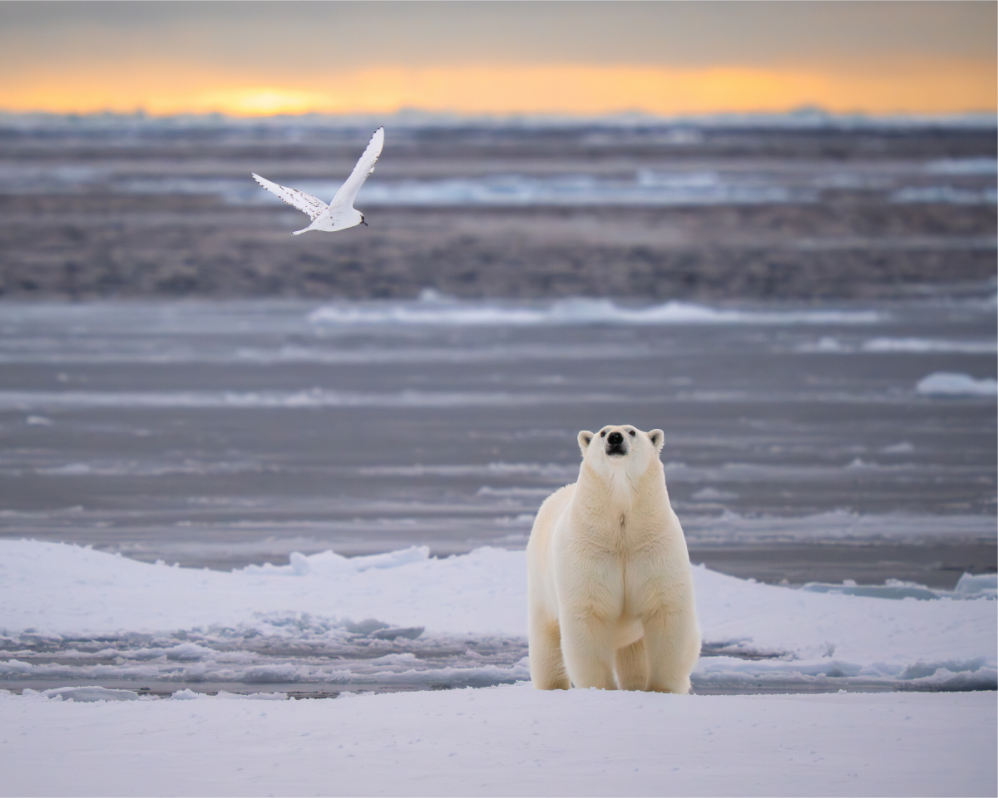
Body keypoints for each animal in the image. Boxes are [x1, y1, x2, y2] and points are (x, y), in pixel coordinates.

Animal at [526, 424, 700, 693]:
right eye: (602, 432)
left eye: (632, 431)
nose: (615, 438)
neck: (622, 534)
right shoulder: (588, 550)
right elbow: (589, 616)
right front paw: (601, 688)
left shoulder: (655, 547)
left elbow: (666, 612)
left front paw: (662, 689)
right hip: (541, 586)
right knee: (546, 639)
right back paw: (552, 686)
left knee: (634, 652)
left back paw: (635, 684)